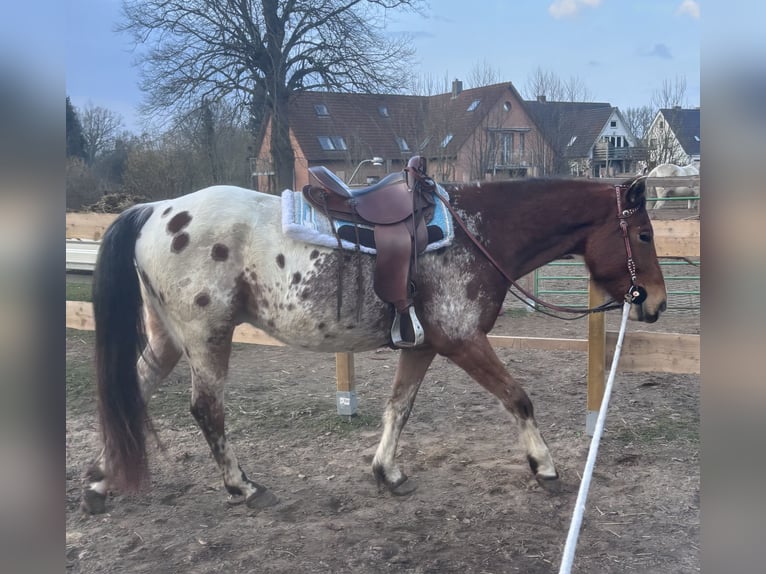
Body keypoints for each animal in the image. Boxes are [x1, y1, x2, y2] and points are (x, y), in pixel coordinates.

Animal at [80, 175, 667, 514]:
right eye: (643, 235)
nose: (656, 302)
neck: (477, 233)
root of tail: (156, 210)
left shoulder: (423, 345)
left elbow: (398, 407)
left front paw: (387, 472)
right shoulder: (462, 340)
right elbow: (518, 398)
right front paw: (544, 468)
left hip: (169, 339)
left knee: (131, 391)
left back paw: (99, 483)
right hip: (207, 336)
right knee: (206, 410)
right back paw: (243, 488)